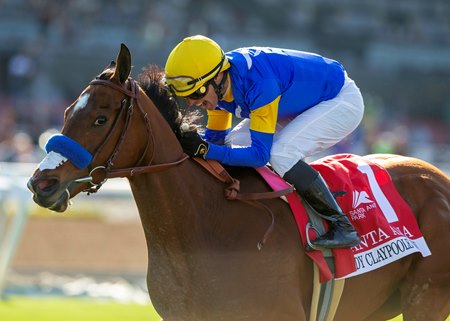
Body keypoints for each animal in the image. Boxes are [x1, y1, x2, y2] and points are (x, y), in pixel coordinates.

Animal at [26, 43, 448, 320]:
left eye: (100, 118)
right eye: (66, 111)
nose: (40, 184)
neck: (206, 228)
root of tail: (439, 177)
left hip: (426, 298)